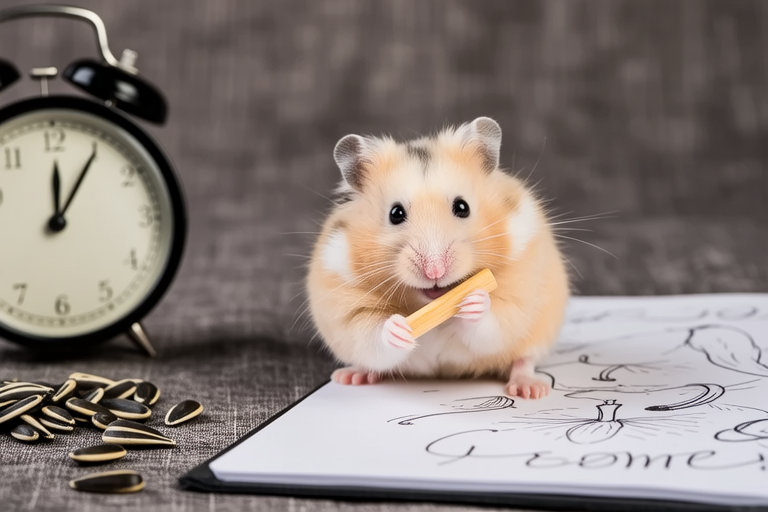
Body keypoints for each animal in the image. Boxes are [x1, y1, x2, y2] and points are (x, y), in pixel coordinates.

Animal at [306, 117, 570, 399]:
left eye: (462, 207)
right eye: (395, 213)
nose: (435, 272)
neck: (431, 303)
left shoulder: (519, 295)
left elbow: (495, 320)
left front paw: (474, 302)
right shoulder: (345, 308)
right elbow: (369, 334)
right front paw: (398, 327)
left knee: (524, 359)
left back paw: (529, 389)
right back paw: (351, 376)